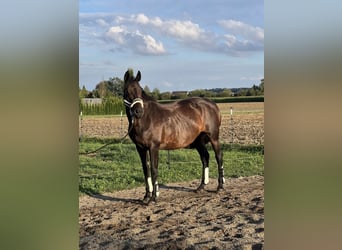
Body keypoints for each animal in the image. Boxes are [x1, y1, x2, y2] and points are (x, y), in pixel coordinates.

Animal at [123, 69, 224, 204]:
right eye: (127, 90)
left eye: (140, 90)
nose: (138, 111)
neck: (146, 119)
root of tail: (212, 104)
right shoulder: (140, 148)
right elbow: (146, 170)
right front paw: (146, 196)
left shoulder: (153, 147)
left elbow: (154, 170)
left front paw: (154, 197)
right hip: (198, 141)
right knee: (205, 158)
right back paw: (201, 186)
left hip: (213, 138)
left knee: (219, 157)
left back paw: (220, 186)